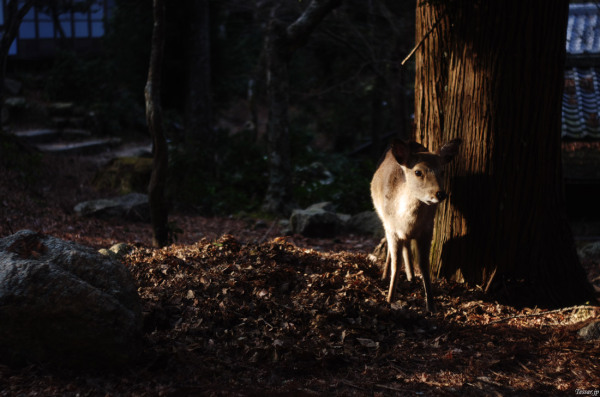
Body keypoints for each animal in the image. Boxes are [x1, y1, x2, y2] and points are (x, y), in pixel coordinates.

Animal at [370, 138, 464, 310]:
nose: (440, 194)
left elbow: (424, 265)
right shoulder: (392, 228)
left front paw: (431, 306)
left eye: (442, 171)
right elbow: (396, 264)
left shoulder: (428, 230)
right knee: (391, 248)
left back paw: (411, 277)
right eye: (418, 172)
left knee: (407, 245)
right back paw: (385, 276)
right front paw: (389, 299)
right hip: (383, 219)